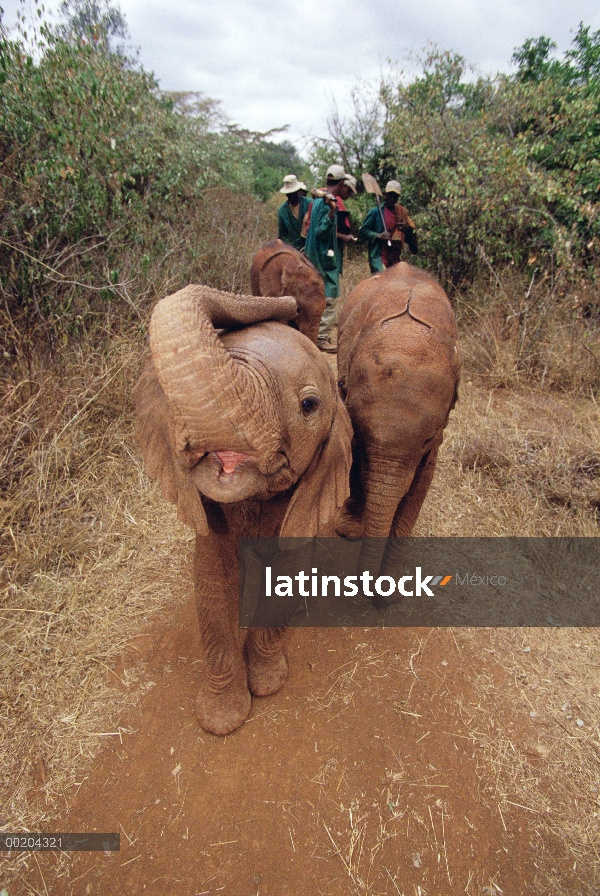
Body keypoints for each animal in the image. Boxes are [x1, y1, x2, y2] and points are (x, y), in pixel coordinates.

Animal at [135, 286, 352, 736]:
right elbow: (212, 583)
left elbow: (287, 572)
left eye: (309, 405)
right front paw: (222, 720)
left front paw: (266, 685)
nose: (290, 303)